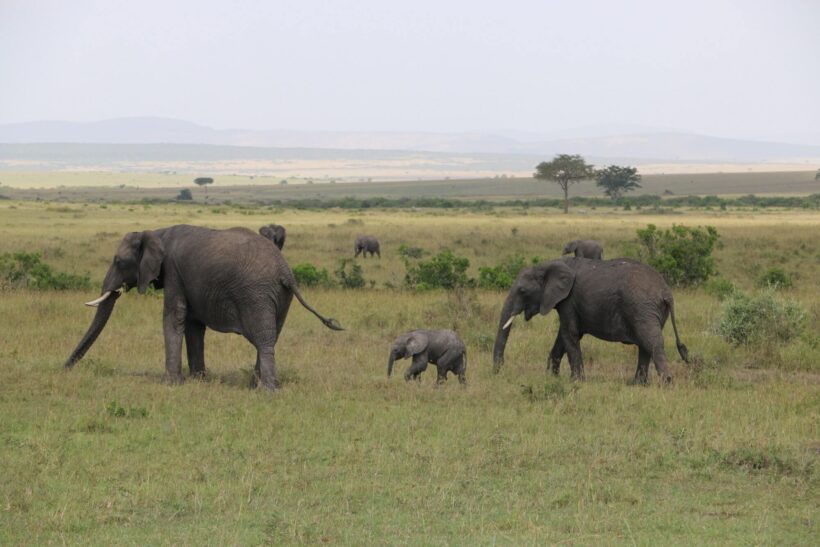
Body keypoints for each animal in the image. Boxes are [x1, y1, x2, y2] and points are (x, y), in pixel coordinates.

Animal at [63, 225, 343, 390]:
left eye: (119, 261)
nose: (64, 368)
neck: (157, 232)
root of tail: (286, 271)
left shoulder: (174, 272)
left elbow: (174, 317)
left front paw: (171, 383)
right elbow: (193, 326)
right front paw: (198, 380)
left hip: (257, 294)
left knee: (263, 339)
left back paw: (267, 390)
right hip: (280, 297)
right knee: (272, 337)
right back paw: (256, 384)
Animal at [493, 257, 688, 384]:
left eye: (523, 291)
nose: (499, 370)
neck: (547, 265)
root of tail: (666, 292)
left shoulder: (568, 299)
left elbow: (569, 334)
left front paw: (576, 381)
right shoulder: (567, 302)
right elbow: (564, 336)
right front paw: (551, 378)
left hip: (642, 308)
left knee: (652, 342)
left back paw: (666, 382)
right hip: (650, 311)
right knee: (645, 345)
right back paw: (638, 384)